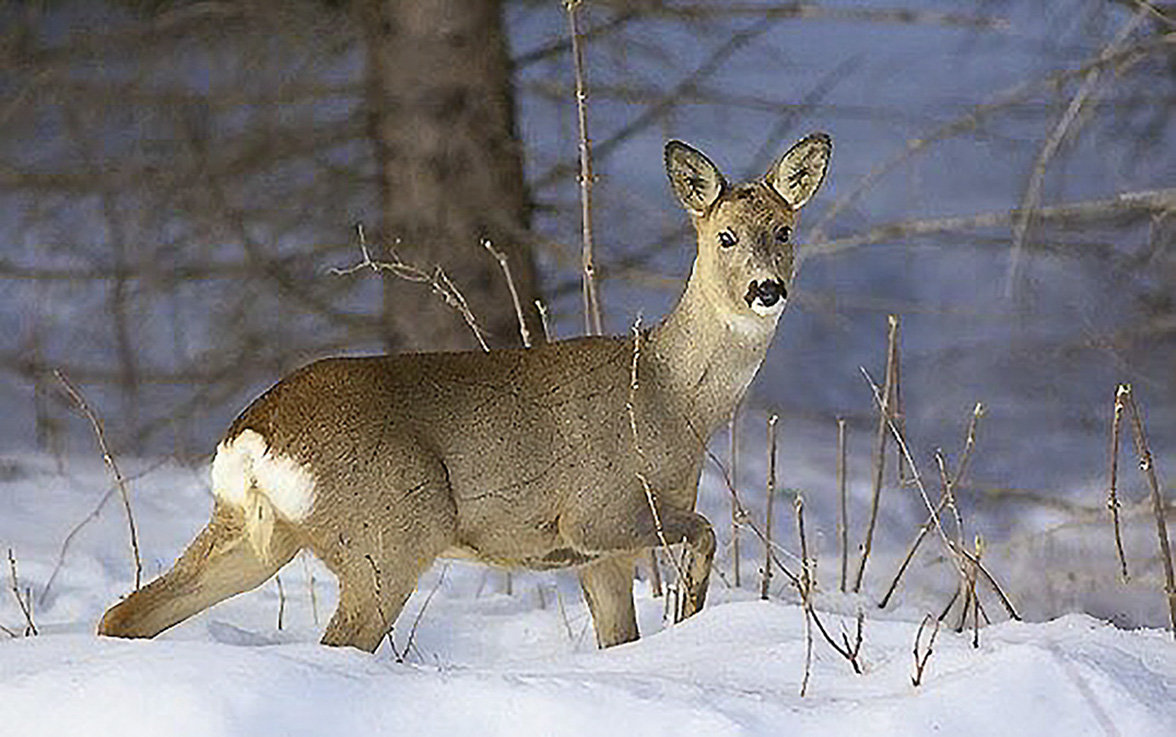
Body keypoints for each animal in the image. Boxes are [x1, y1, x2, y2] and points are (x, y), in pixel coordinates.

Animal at [96, 132, 832, 653]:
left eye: (784, 230)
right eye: (725, 235)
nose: (767, 289)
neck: (671, 393)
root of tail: (256, 433)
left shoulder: (600, 558)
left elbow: (619, 638)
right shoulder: (596, 513)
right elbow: (704, 532)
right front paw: (691, 615)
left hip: (253, 533)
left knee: (126, 612)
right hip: (389, 531)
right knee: (339, 639)